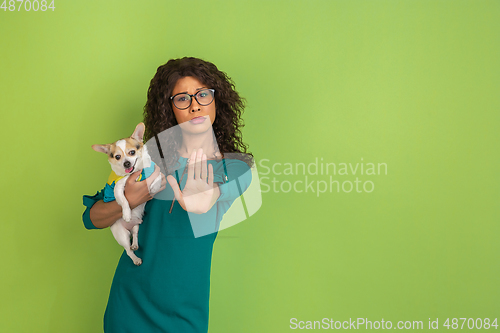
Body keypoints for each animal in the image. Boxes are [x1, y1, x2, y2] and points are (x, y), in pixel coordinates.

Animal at [93, 122, 162, 264]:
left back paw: (135, 244)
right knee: (128, 251)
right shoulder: (118, 189)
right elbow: (124, 201)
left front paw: (153, 188)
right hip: (122, 235)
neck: (138, 172)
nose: (126, 163)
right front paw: (126, 214)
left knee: (135, 234)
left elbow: (158, 180)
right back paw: (135, 259)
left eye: (132, 152)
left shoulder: (157, 172)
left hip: (136, 226)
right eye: (117, 157)